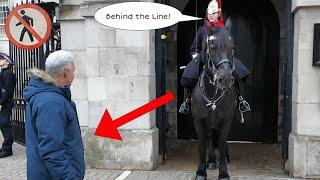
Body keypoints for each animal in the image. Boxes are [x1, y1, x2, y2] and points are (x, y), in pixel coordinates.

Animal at [191, 18, 236, 180]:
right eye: (212, 46)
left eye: (232, 46)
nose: (226, 79)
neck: (212, 94)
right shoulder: (199, 122)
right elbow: (201, 145)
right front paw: (200, 171)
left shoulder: (226, 121)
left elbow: (222, 143)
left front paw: (223, 173)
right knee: (210, 136)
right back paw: (210, 161)